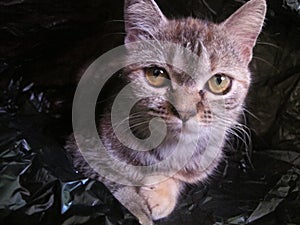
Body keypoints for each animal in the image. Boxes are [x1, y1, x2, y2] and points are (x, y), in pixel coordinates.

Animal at [67, 0, 266, 225]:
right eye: (156, 74)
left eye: (219, 81)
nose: (185, 111)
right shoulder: (82, 152)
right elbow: (114, 186)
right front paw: (138, 210)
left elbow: (181, 175)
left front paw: (160, 193)